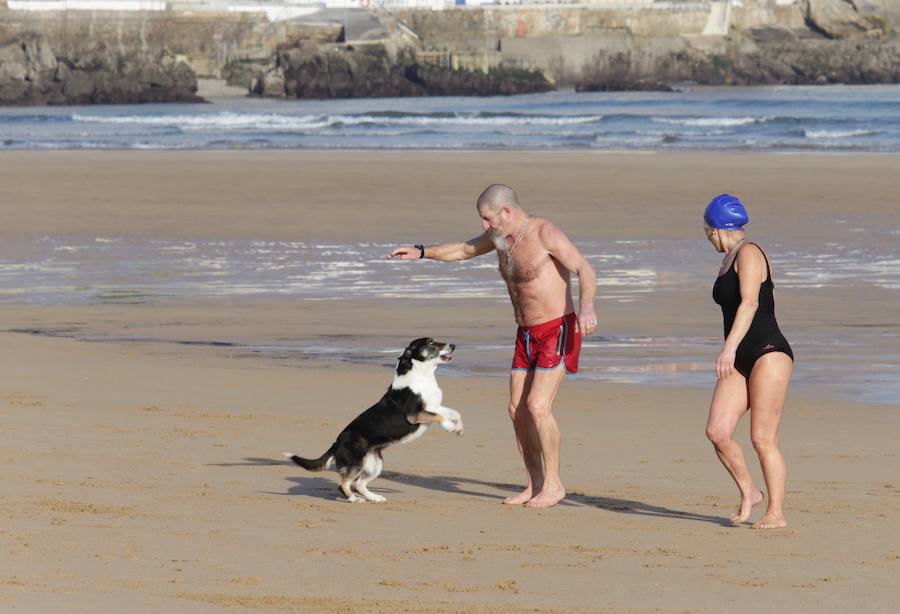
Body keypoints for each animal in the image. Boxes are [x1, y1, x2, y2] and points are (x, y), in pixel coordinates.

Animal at [284, 340, 460, 502]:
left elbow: (453, 412)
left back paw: (375, 497)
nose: (453, 345)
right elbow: (440, 416)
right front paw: (449, 427)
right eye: (431, 343)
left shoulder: (433, 407)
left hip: (375, 465)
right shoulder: (415, 415)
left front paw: (458, 428)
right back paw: (354, 499)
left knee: (358, 484)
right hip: (356, 463)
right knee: (344, 484)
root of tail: (337, 443)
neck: (421, 376)